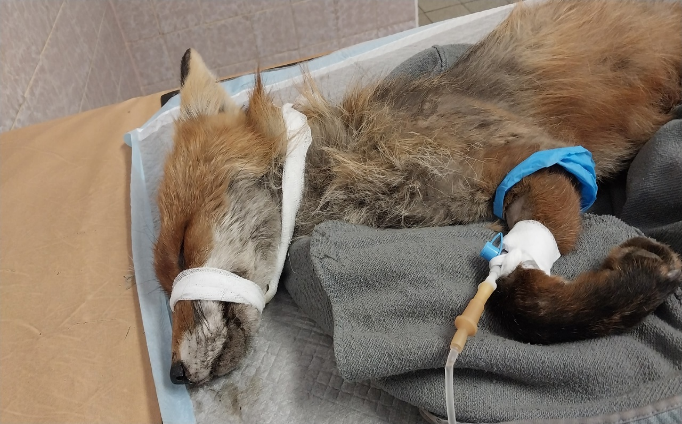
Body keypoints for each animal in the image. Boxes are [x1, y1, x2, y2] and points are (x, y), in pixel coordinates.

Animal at [153, 0, 682, 385]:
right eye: (162, 280)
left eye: (182, 249)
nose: (174, 375)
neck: (360, 155)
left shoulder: (546, 156)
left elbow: (519, 300)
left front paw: (638, 282)